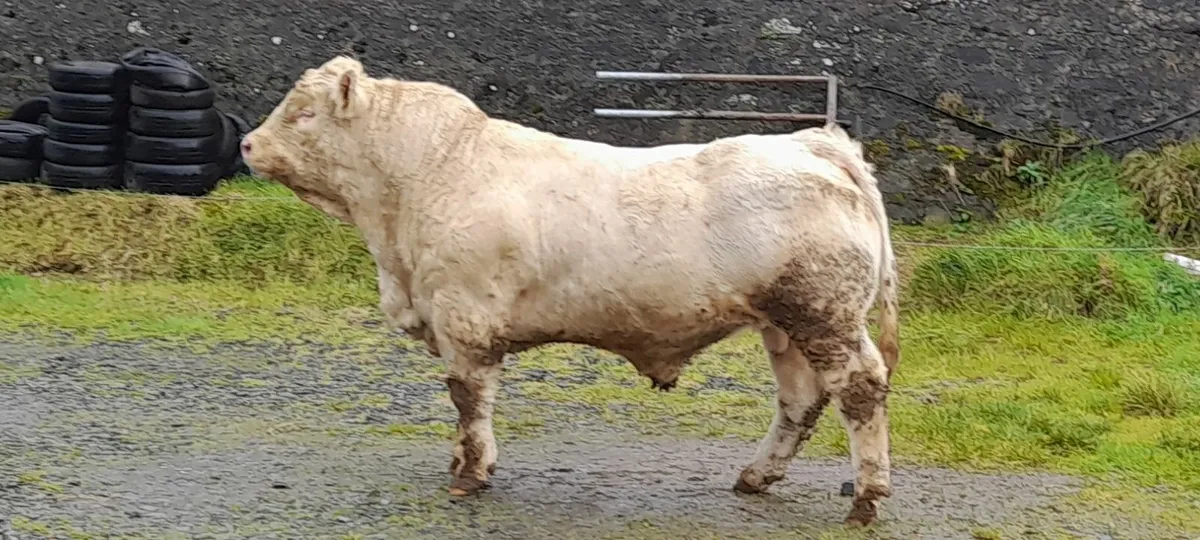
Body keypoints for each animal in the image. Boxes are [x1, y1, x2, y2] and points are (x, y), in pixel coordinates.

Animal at [240, 55, 901, 527]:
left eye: (305, 114)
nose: (246, 144)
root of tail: (812, 143)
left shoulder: (463, 315)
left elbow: (468, 398)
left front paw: (471, 472)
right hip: (785, 324)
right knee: (799, 400)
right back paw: (756, 477)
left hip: (825, 315)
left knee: (859, 389)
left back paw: (865, 498)